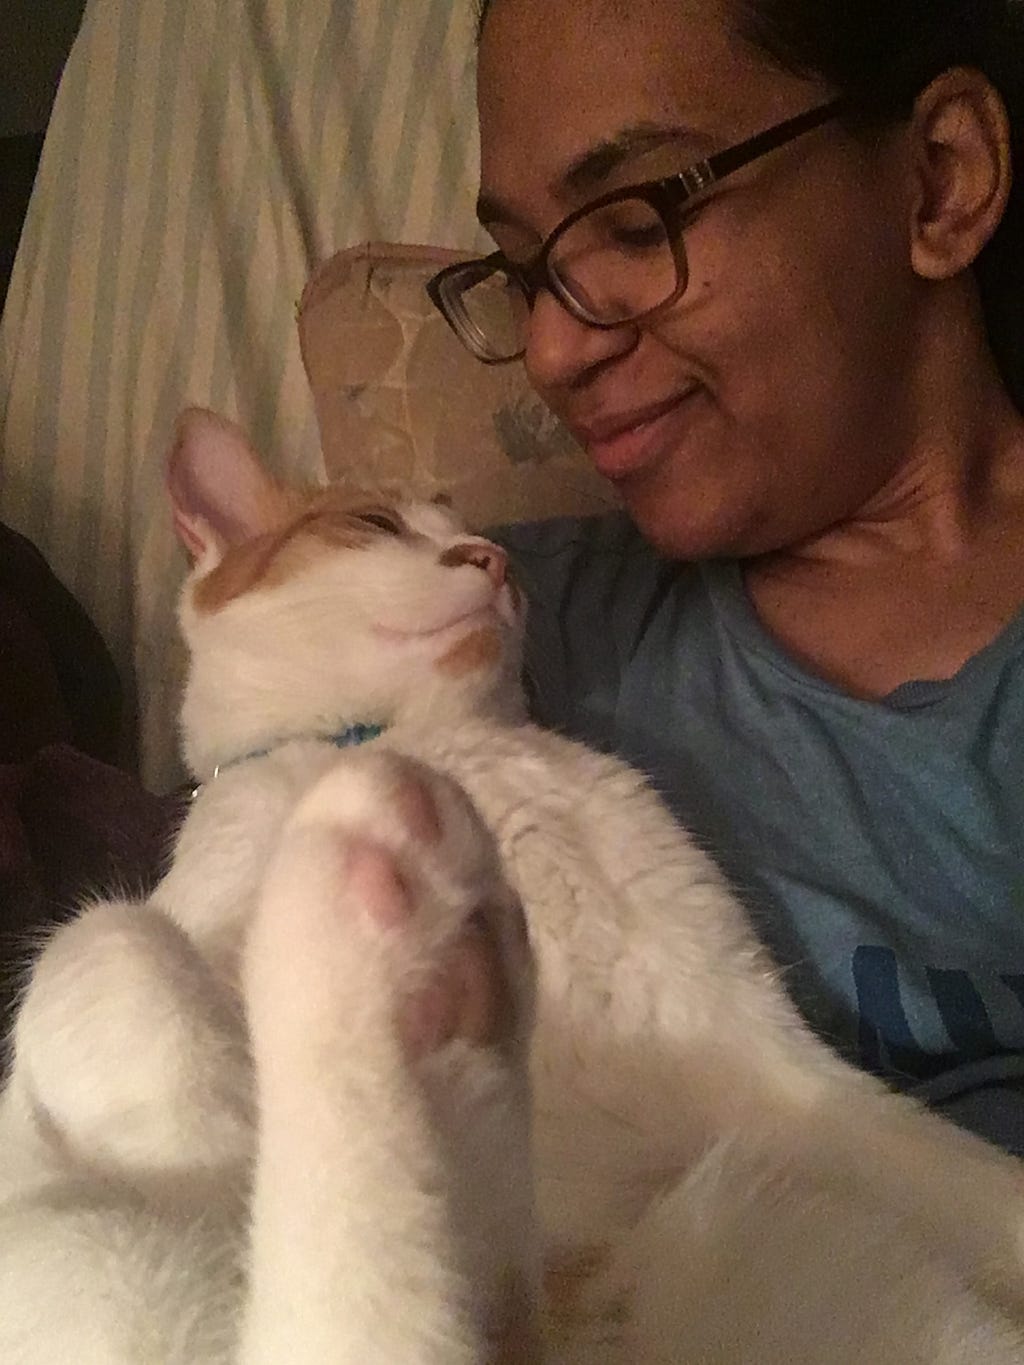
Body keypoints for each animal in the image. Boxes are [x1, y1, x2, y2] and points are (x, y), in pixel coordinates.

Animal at [2, 406, 1024, 1365]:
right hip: (100, 1259)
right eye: (372, 522)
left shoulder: (767, 1057)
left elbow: (967, 1176)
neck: (424, 740)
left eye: (487, 540)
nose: (491, 559)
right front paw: (211, 1120)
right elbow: (109, 939)